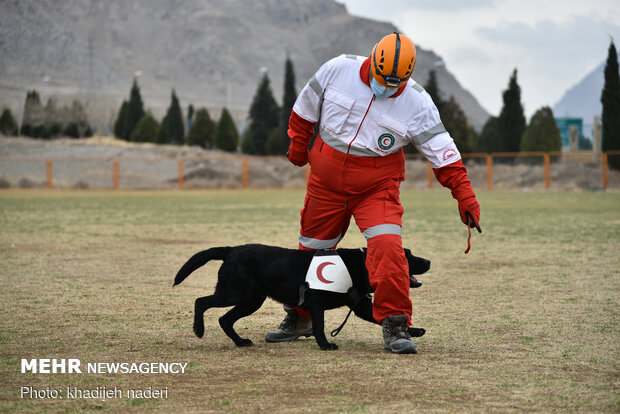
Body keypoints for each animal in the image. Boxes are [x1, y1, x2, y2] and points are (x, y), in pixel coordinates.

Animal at [172, 244, 428, 350]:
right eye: (408, 256)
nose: (428, 261)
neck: (359, 265)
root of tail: (232, 250)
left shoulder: (361, 306)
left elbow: (382, 317)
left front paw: (412, 331)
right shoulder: (316, 302)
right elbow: (319, 327)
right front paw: (325, 345)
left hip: (251, 300)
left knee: (224, 319)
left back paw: (240, 342)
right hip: (234, 293)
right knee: (201, 302)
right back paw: (198, 330)